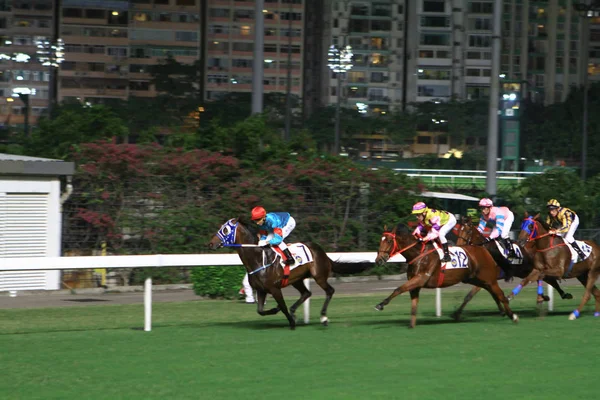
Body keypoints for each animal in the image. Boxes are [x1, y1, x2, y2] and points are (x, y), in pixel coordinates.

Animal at [209, 217, 372, 330]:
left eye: (225, 230)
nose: (211, 243)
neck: (258, 258)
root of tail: (323, 253)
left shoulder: (274, 289)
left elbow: (282, 306)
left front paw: (291, 322)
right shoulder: (261, 290)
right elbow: (260, 310)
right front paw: (277, 310)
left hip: (319, 276)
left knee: (329, 291)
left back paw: (323, 318)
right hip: (297, 280)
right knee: (306, 293)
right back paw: (295, 311)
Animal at [372, 223, 516, 326]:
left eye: (389, 241)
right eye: (380, 241)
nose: (378, 260)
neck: (419, 254)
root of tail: (483, 249)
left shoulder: (421, 278)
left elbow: (398, 289)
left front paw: (380, 304)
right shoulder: (415, 284)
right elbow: (412, 303)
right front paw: (411, 325)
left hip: (488, 278)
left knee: (500, 295)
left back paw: (513, 315)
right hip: (475, 279)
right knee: (491, 293)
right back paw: (503, 312)